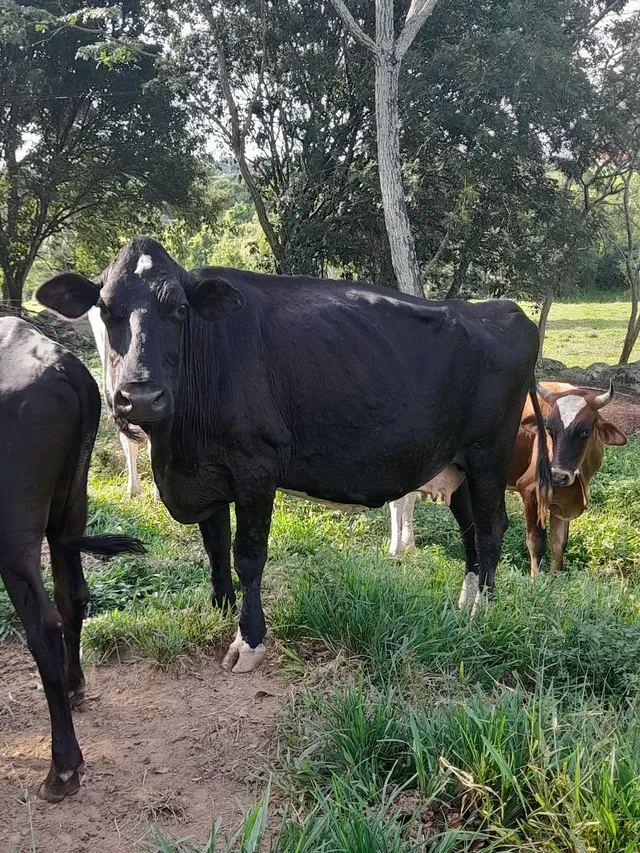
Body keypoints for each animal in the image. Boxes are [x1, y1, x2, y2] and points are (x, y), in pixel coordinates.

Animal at [0, 317, 145, 802]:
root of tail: (61, 365)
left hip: (14, 528)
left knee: (44, 623)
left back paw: (63, 767)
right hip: (71, 502)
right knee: (73, 596)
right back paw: (74, 685)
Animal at [389, 381, 626, 586]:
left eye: (586, 430)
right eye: (548, 428)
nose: (557, 476)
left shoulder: (562, 502)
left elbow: (559, 544)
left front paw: (554, 585)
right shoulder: (531, 491)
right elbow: (536, 541)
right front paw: (535, 583)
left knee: (408, 500)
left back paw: (409, 544)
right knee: (397, 503)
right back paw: (395, 549)